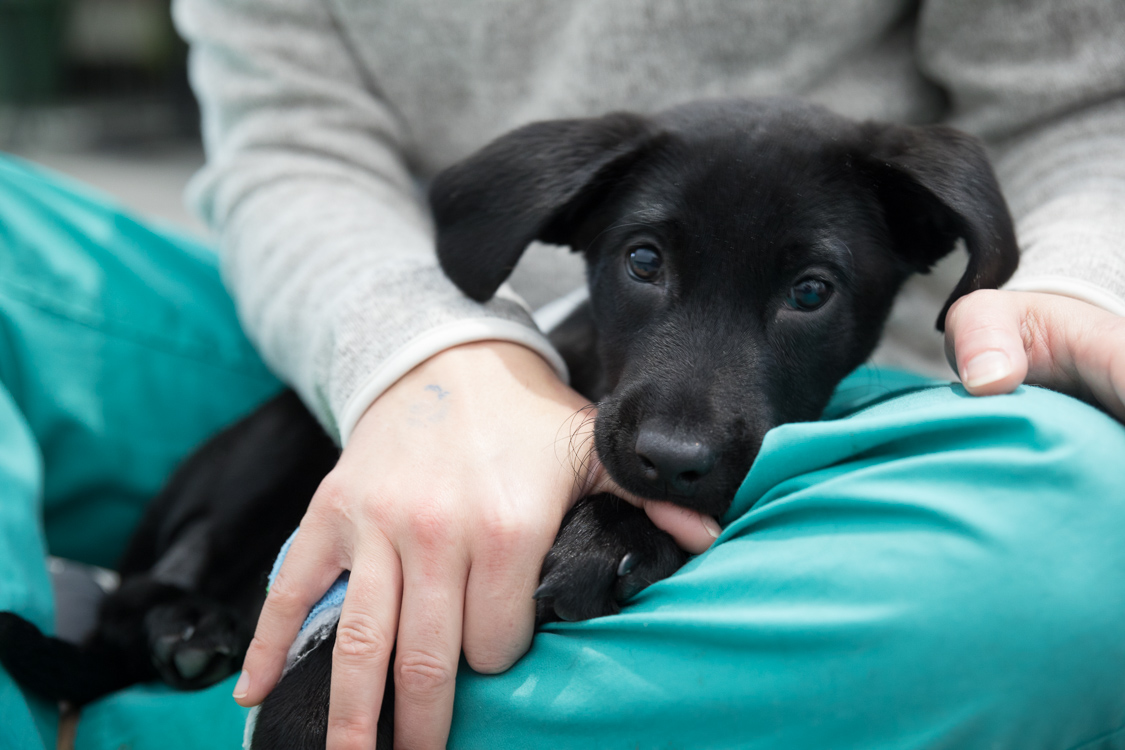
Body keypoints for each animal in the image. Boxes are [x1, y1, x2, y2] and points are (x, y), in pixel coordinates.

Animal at [0, 99, 1021, 750]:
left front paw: (612, 536)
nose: (668, 460)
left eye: (811, 293)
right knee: (143, 594)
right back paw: (188, 627)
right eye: (641, 261)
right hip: (272, 444)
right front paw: (303, 707)